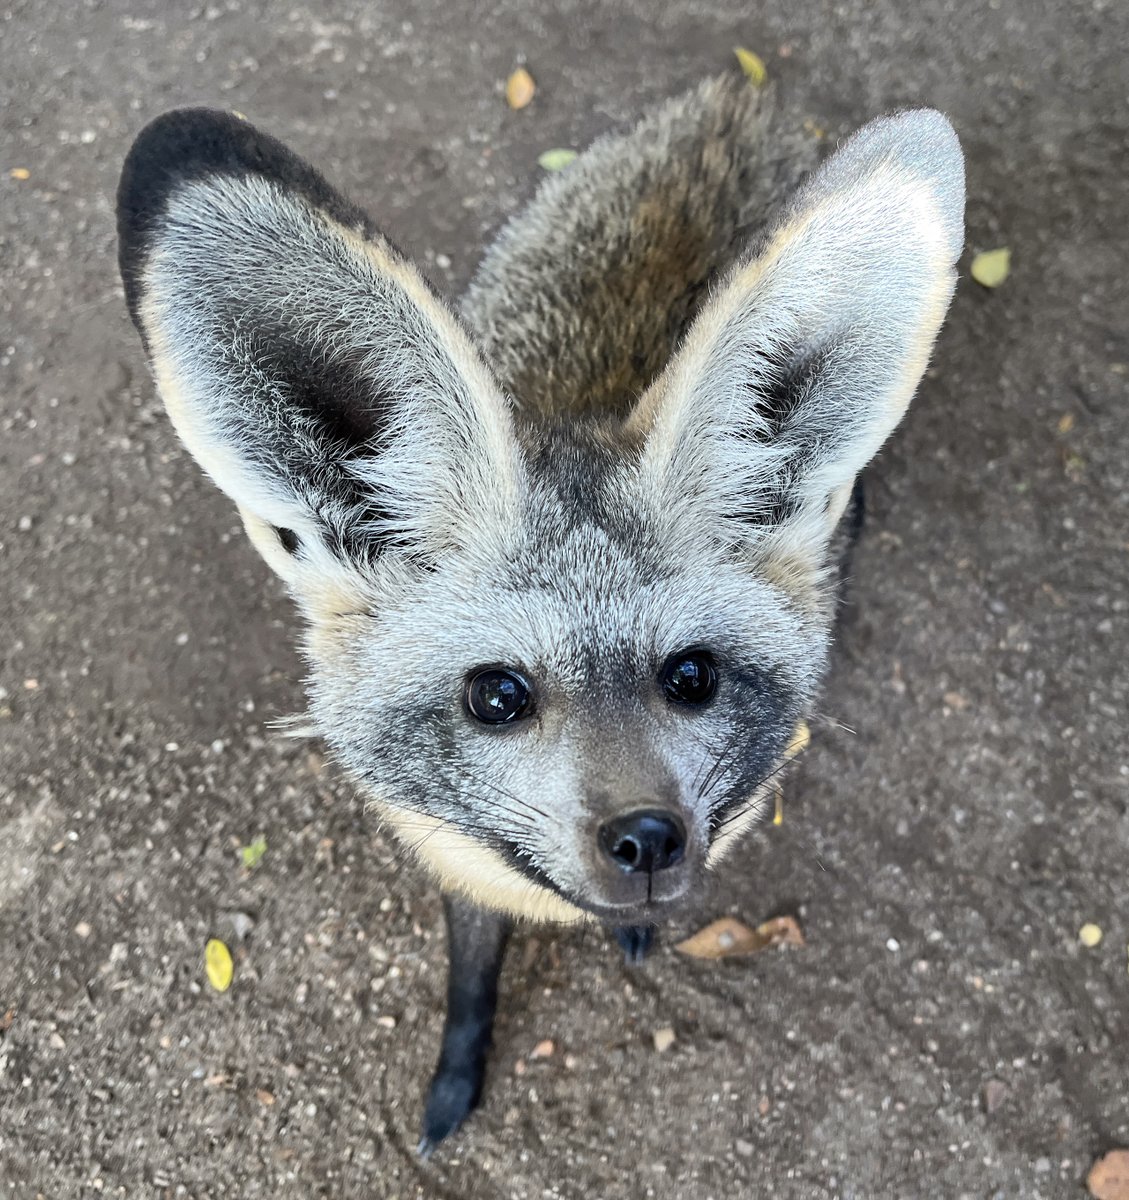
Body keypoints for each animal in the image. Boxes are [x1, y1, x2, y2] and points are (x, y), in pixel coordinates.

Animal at [116, 74, 965, 1153]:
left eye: (690, 676)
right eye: (496, 696)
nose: (646, 840)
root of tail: (736, 99)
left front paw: (635, 926)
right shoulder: (454, 866)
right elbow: (470, 985)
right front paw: (454, 1084)